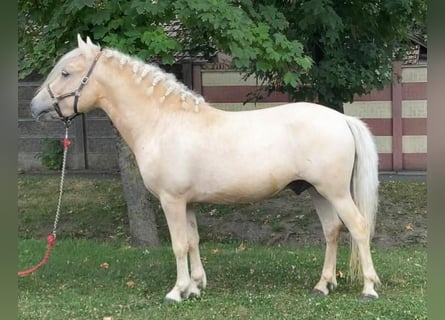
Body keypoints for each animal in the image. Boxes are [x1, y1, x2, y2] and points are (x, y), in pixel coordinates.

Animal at [30, 35, 378, 302]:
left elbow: (178, 244)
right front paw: (196, 287)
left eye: (66, 73)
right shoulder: (187, 202)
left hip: (335, 193)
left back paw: (369, 289)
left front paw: (177, 291)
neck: (163, 122)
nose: (34, 107)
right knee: (332, 231)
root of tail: (342, 119)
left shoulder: (171, 200)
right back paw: (322, 285)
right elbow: (194, 241)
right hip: (318, 192)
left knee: (359, 228)